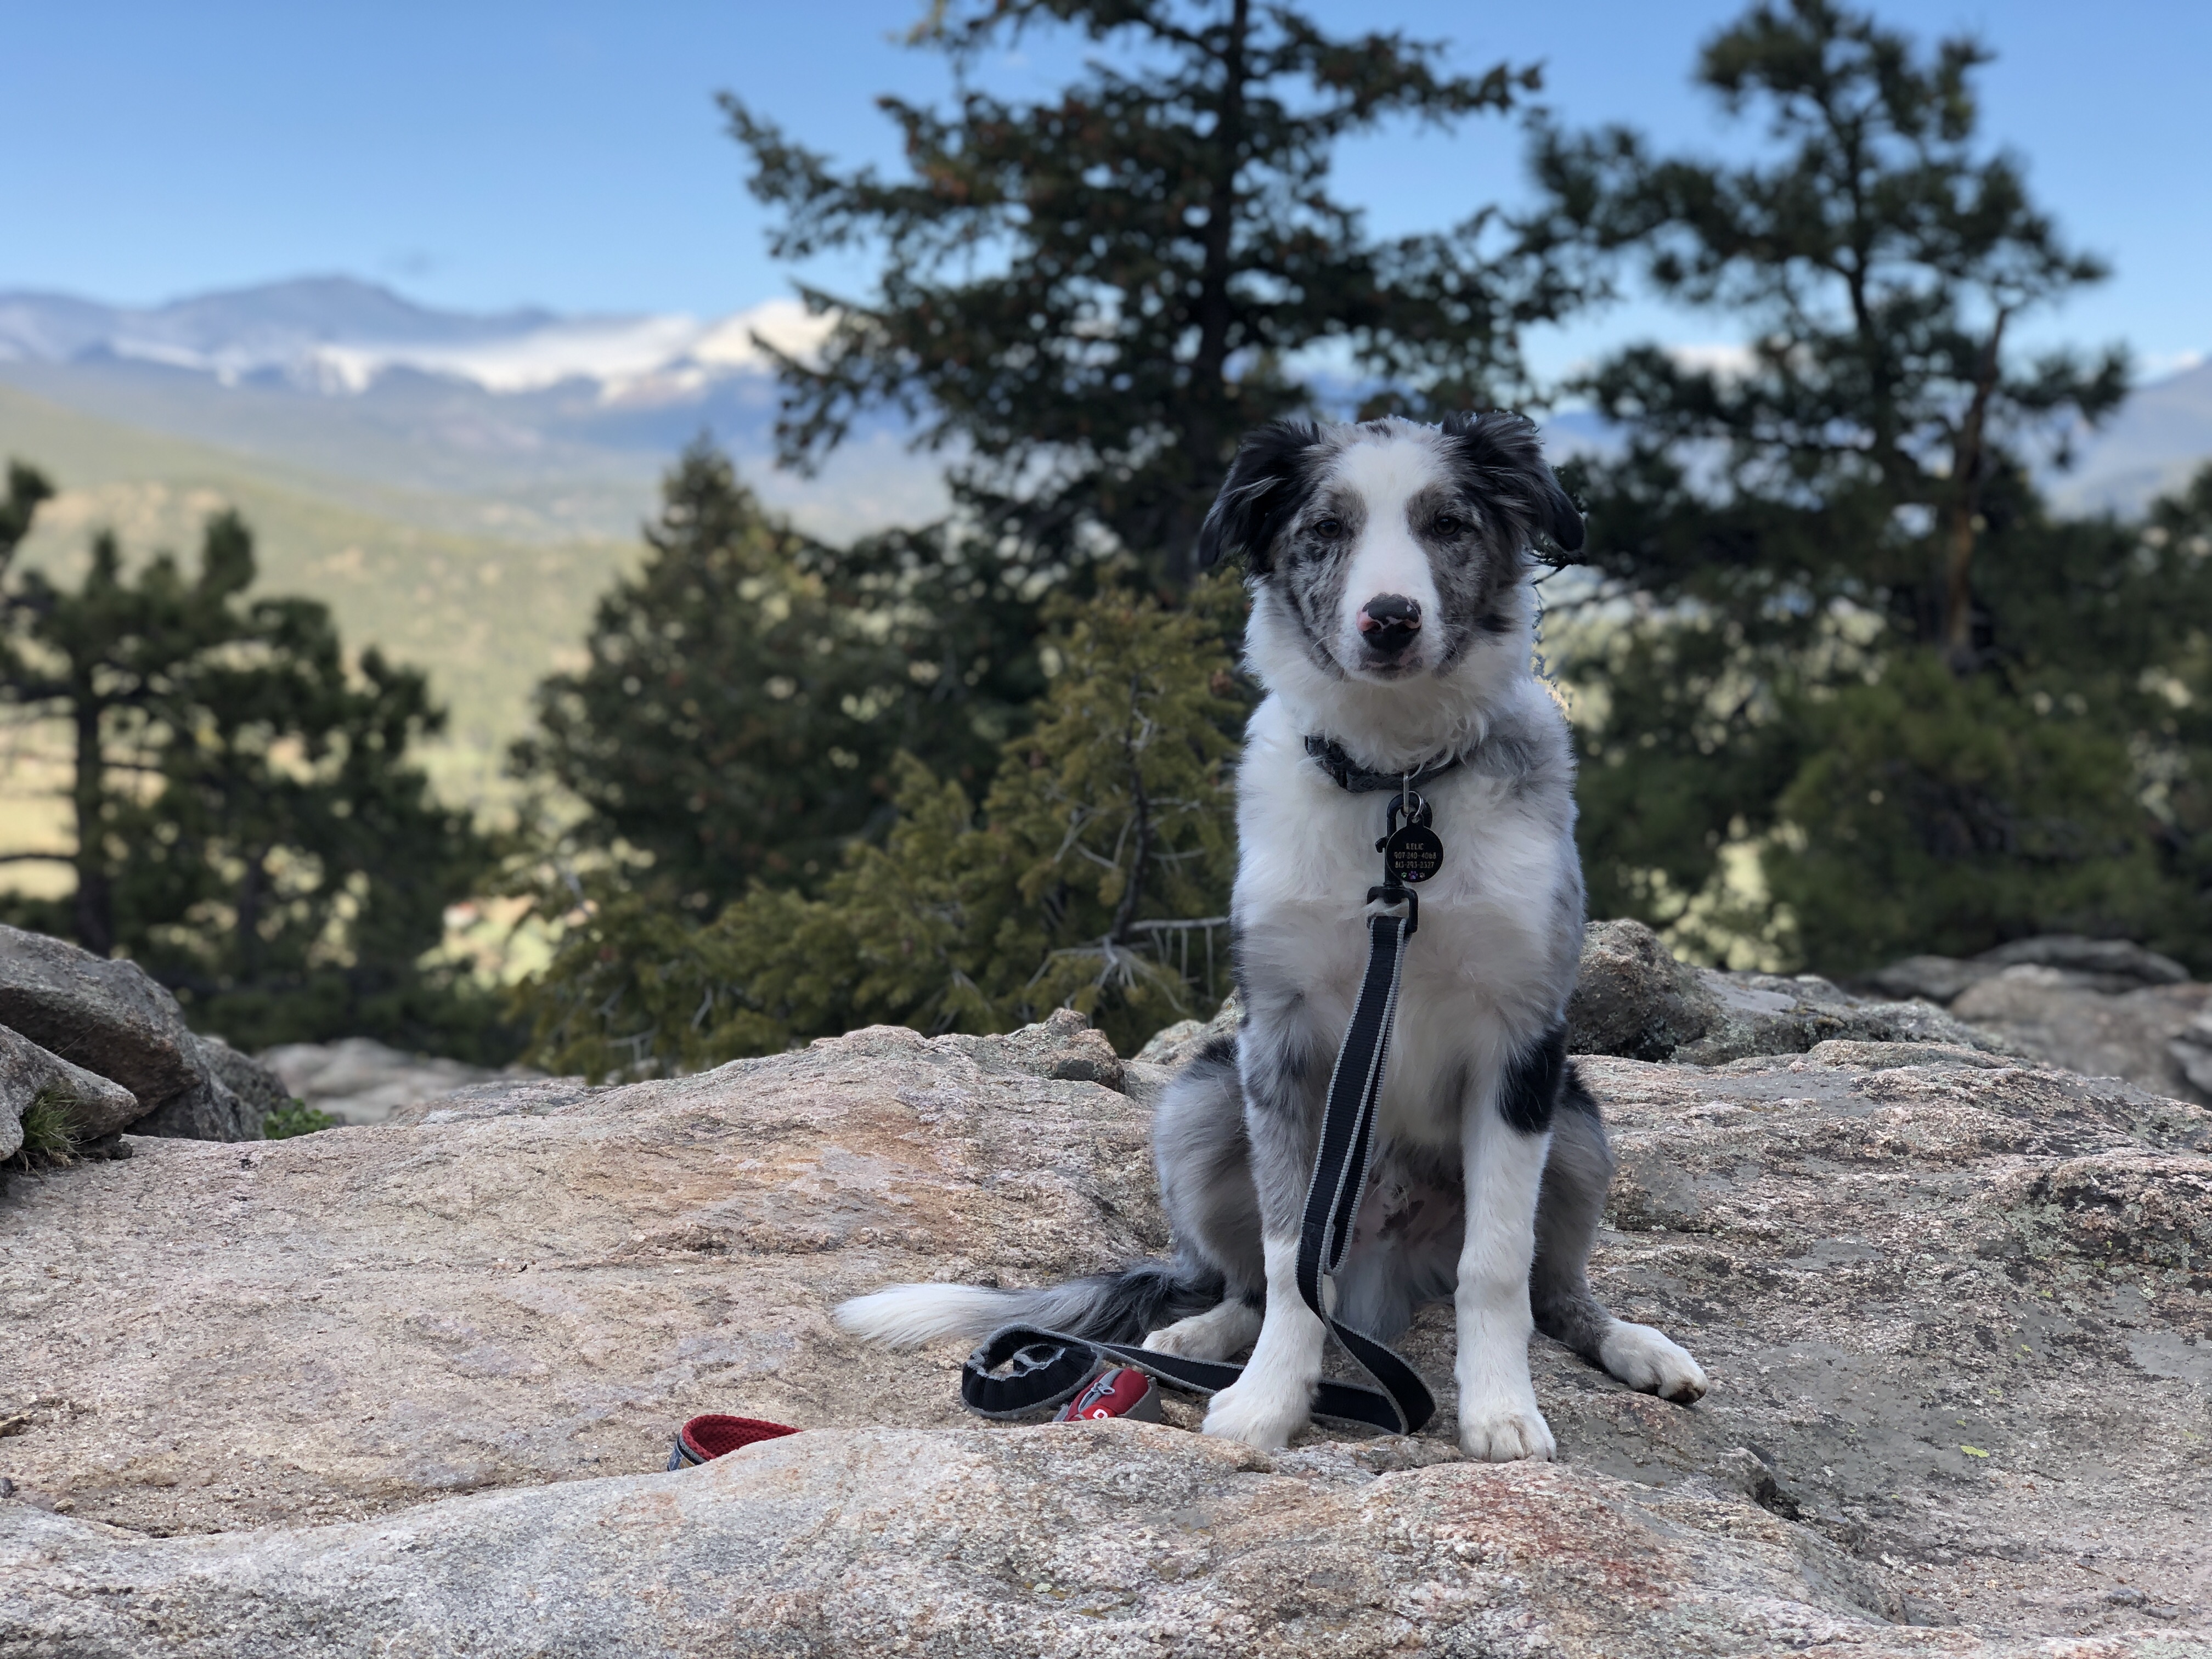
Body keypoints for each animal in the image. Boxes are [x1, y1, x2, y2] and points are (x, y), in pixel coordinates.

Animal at [832, 413, 1707, 1451]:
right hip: (1202, 1100)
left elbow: (1494, 1265)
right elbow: (1291, 1252)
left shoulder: (1520, 1038)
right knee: (1247, 1277)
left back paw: (1636, 1346)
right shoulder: (1281, 1039)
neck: (1398, 788)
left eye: (1448, 524)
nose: (1389, 619)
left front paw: (1500, 1408)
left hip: (1575, 1121)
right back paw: (1200, 1332)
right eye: (1325, 529)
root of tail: (1383, 1268)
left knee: (1553, 1290)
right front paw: (1269, 1398)